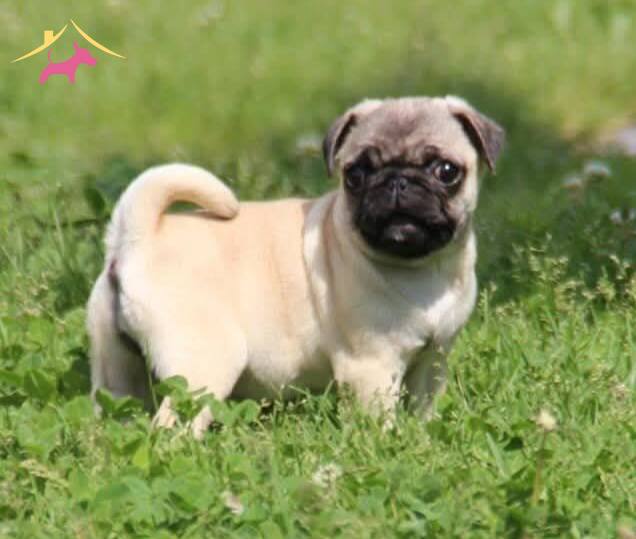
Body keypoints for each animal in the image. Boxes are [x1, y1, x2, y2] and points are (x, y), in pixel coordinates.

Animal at [87, 96, 504, 436]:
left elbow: (423, 409)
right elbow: (379, 421)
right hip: (204, 362)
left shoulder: (433, 361)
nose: (398, 182)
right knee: (172, 426)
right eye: (355, 175)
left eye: (446, 171)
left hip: (117, 371)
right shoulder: (370, 366)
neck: (422, 268)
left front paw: (423, 438)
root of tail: (137, 236)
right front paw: (388, 448)